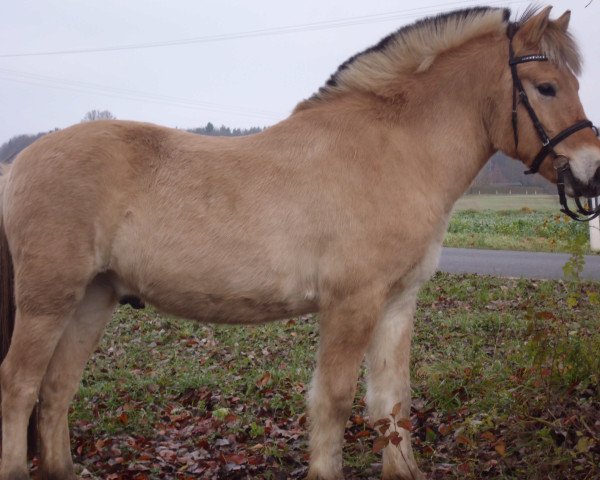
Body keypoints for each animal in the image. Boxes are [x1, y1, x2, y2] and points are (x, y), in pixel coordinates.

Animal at [1, 4, 600, 480]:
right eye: (546, 87)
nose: (592, 171)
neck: (391, 151)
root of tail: (20, 164)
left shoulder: (397, 303)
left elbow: (392, 402)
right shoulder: (350, 305)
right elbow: (332, 402)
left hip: (93, 297)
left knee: (56, 391)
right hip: (48, 299)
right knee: (20, 385)